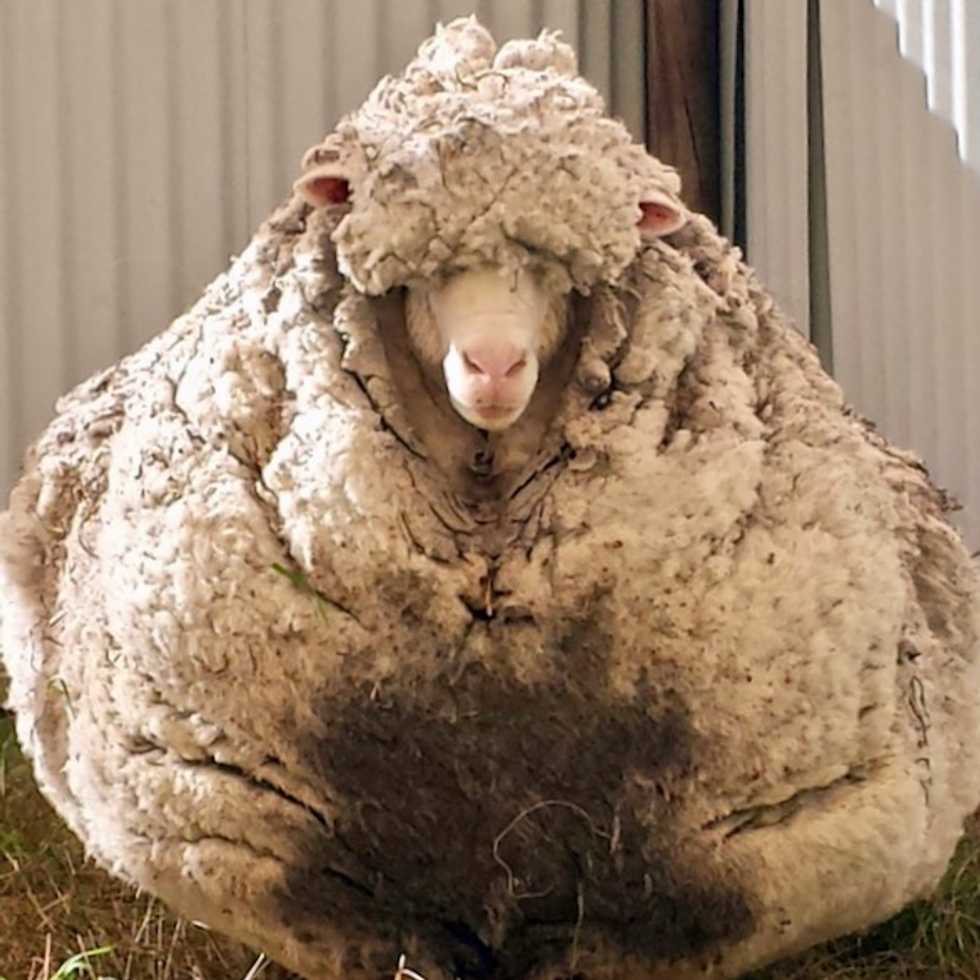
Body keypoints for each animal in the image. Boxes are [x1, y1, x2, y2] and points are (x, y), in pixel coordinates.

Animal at [1, 16, 979, 980]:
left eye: (557, 273)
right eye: (421, 275)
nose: (494, 366)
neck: (486, 509)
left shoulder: (776, 844)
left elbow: (664, 926)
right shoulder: (229, 822)